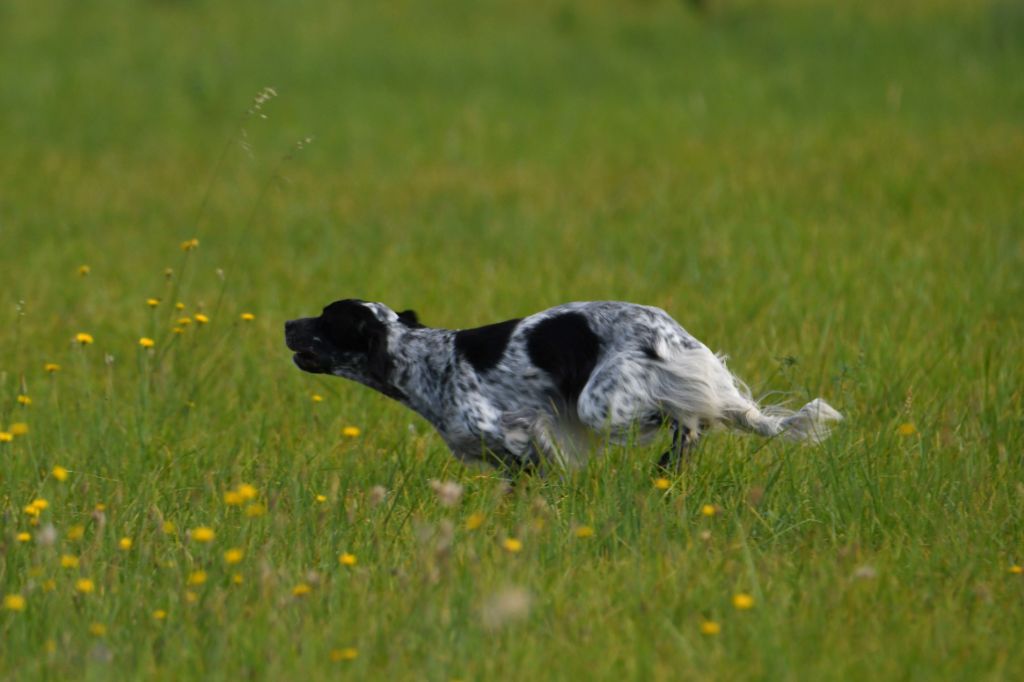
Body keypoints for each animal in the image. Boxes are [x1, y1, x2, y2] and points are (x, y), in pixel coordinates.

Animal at [282, 301, 839, 471]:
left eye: (327, 317)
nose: (287, 322)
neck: (422, 360)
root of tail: (672, 332)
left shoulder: (516, 431)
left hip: (601, 402)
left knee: (688, 420)